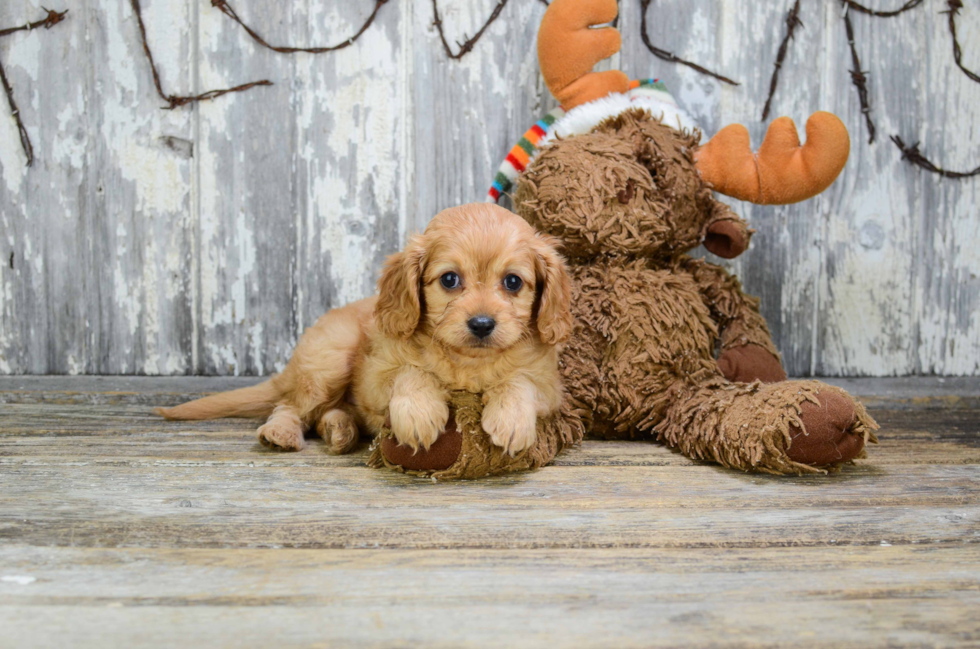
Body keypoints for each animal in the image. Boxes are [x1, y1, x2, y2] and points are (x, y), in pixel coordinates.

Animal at [155, 202, 576, 456]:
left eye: (513, 282)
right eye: (450, 279)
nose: (483, 324)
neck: (466, 362)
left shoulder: (549, 387)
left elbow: (518, 381)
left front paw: (510, 419)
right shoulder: (375, 377)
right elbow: (412, 372)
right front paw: (420, 414)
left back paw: (339, 430)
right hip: (331, 360)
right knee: (289, 405)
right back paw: (283, 433)